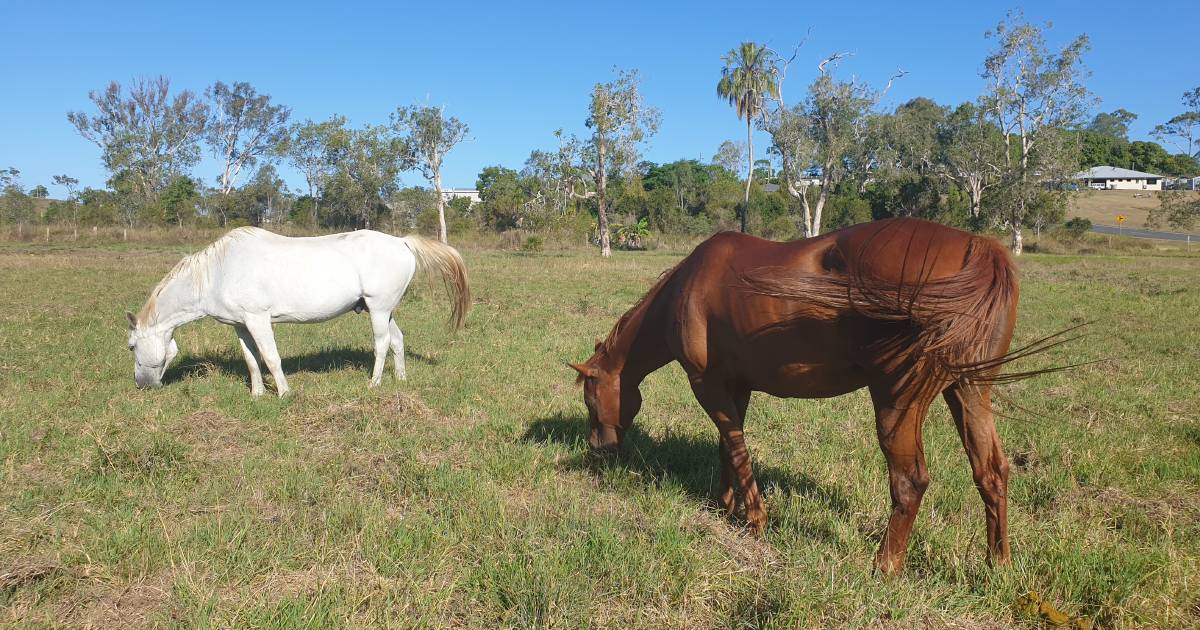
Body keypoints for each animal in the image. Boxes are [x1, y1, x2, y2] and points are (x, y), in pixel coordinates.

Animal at [129, 225, 468, 396]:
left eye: (132, 346)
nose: (142, 385)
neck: (218, 271)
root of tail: (402, 242)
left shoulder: (258, 320)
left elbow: (271, 358)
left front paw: (284, 393)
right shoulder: (240, 325)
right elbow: (252, 361)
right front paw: (256, 394)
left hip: (378, 309)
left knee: (382, 343)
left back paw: (374, 384)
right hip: (385, 311)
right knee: (397, 340)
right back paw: (400, 380)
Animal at [568, 217, 1051, 573]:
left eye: (590, 398)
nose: (597, 448)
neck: (687, 287)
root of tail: (979, 249)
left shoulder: (707, 385)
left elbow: (737, 450)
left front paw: (755, 520)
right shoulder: (734, 387)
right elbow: (728, 447)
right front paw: (725, 505)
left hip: (897, 402)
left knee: (910, 482)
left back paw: (884, 567)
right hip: (969, 391)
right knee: (991, 472)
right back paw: (998, 564)